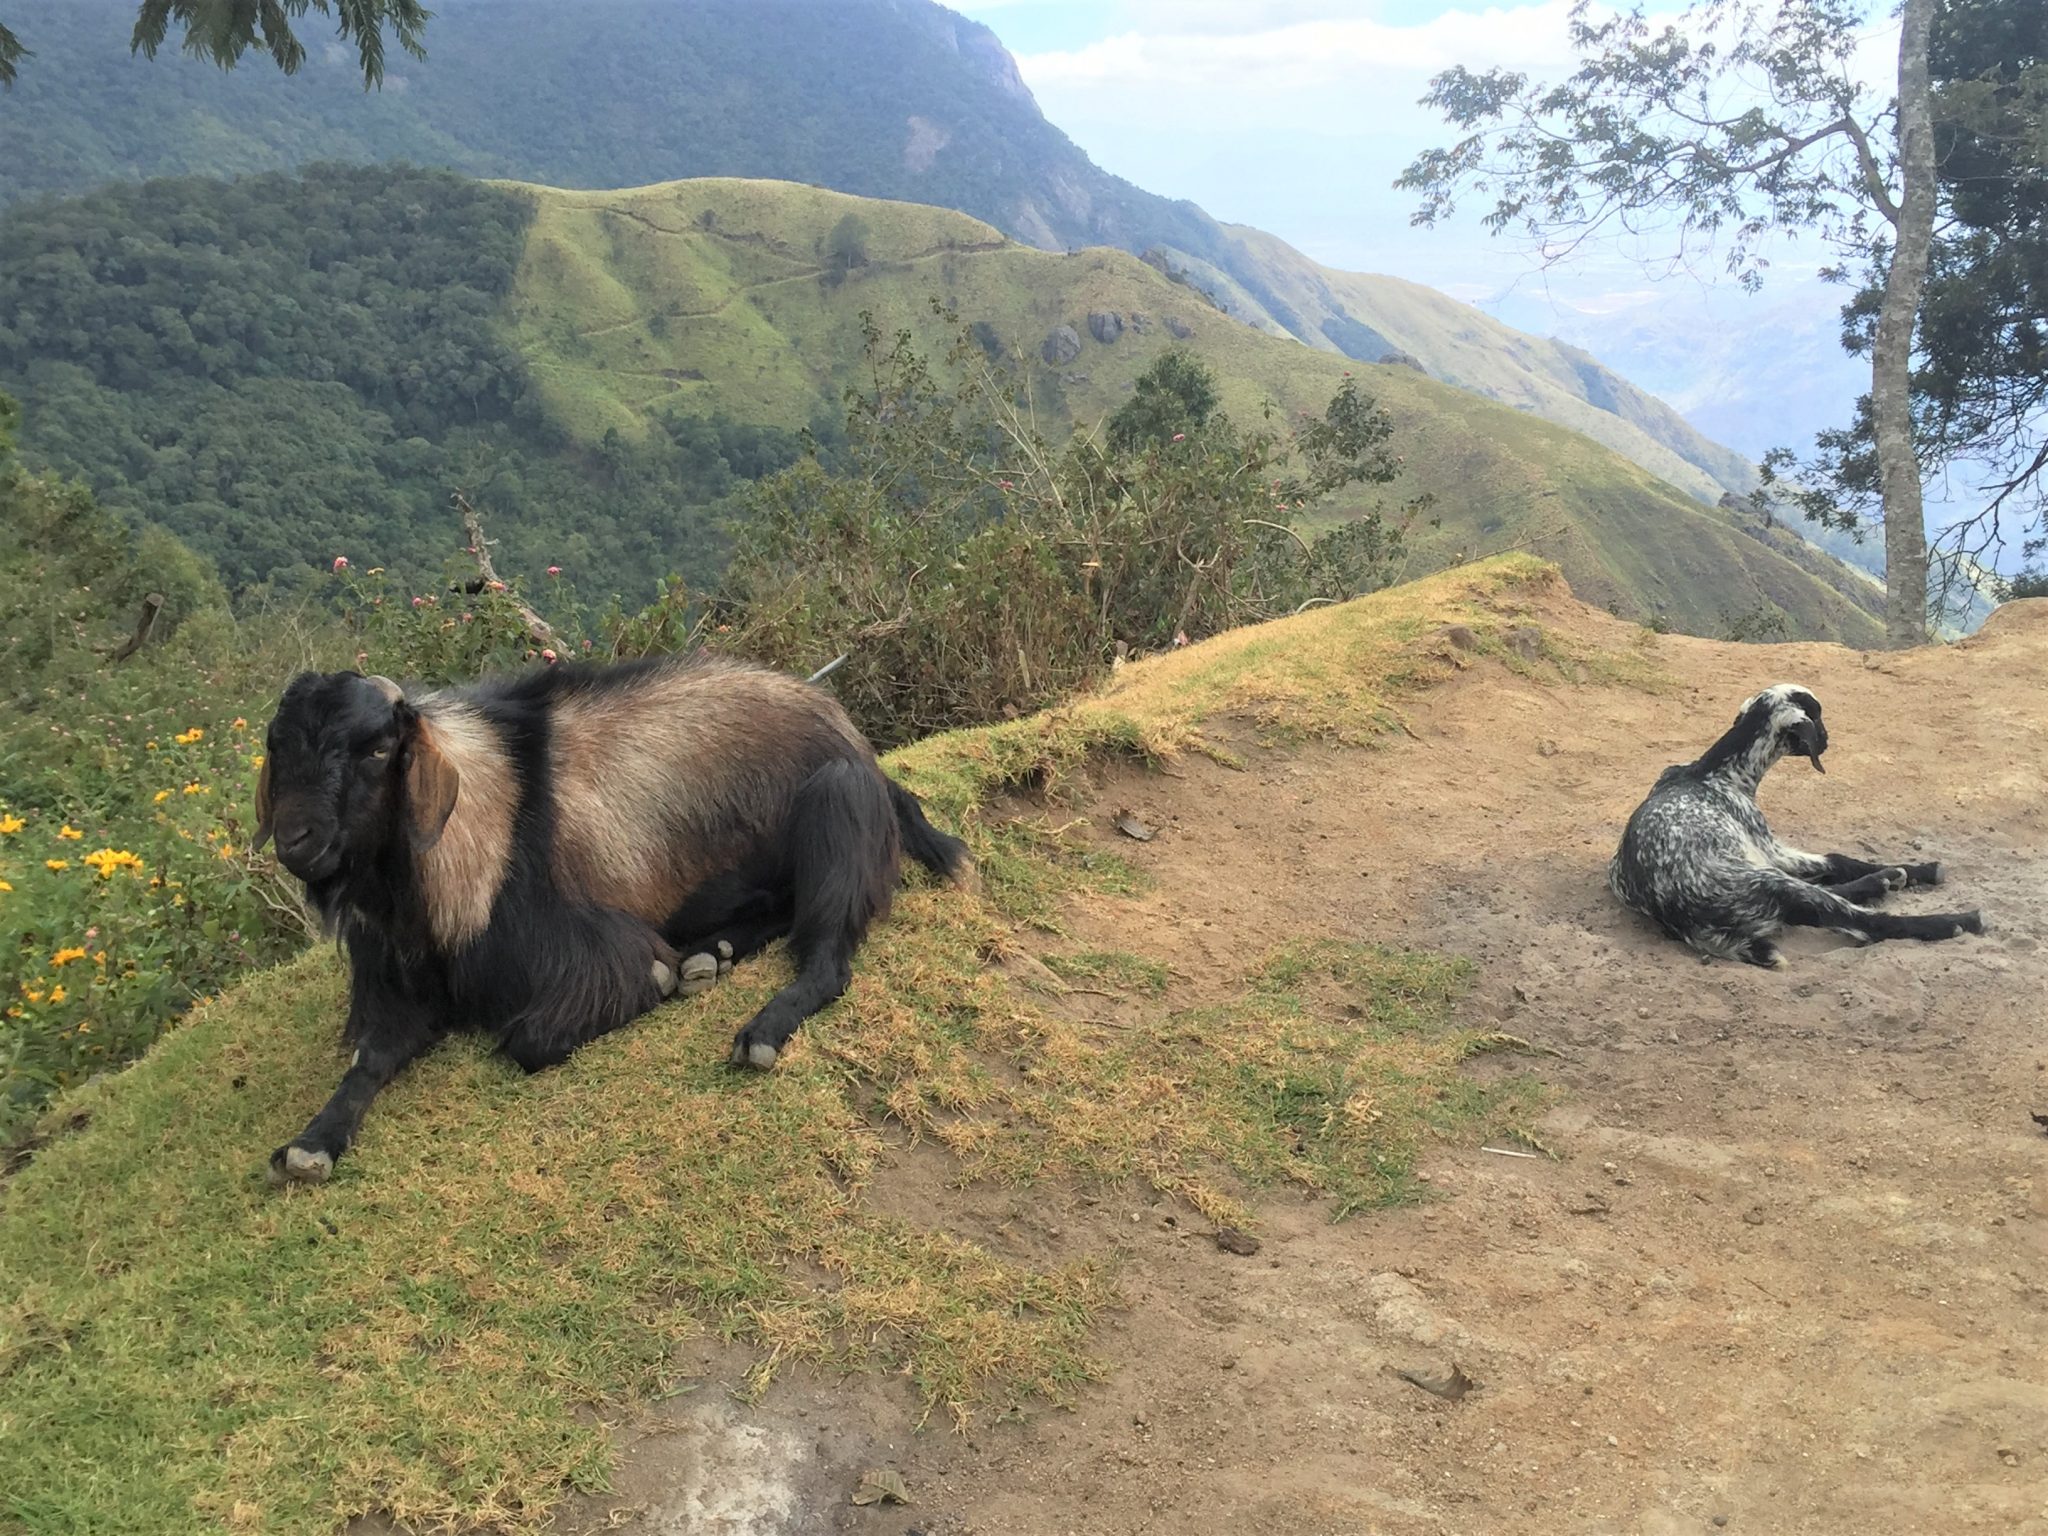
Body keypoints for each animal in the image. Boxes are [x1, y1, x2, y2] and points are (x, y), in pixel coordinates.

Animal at [256, 655, 974, 1187]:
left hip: (834, 803)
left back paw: (758, 1030)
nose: (296, 840)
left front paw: (665, 984)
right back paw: (710, 956)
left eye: (378, 749)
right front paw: (311, 1143)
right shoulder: (402, 989)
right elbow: (369, 1060)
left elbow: (532, 1039)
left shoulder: (599, 952)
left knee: (827, 959)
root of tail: (857, 745)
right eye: (277, 745)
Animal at [1605, 679, 1974, 966]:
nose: (1827, 739)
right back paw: (1954, 920)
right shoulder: (1769, 847)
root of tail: (1684, 920)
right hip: (1767, 880)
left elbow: (1836, 864)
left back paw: (1882, 882)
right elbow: (1837, 860)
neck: (1713, 771)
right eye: (1818, 715)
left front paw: (1900, 872)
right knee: (1862, 922)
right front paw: (1922, 870)